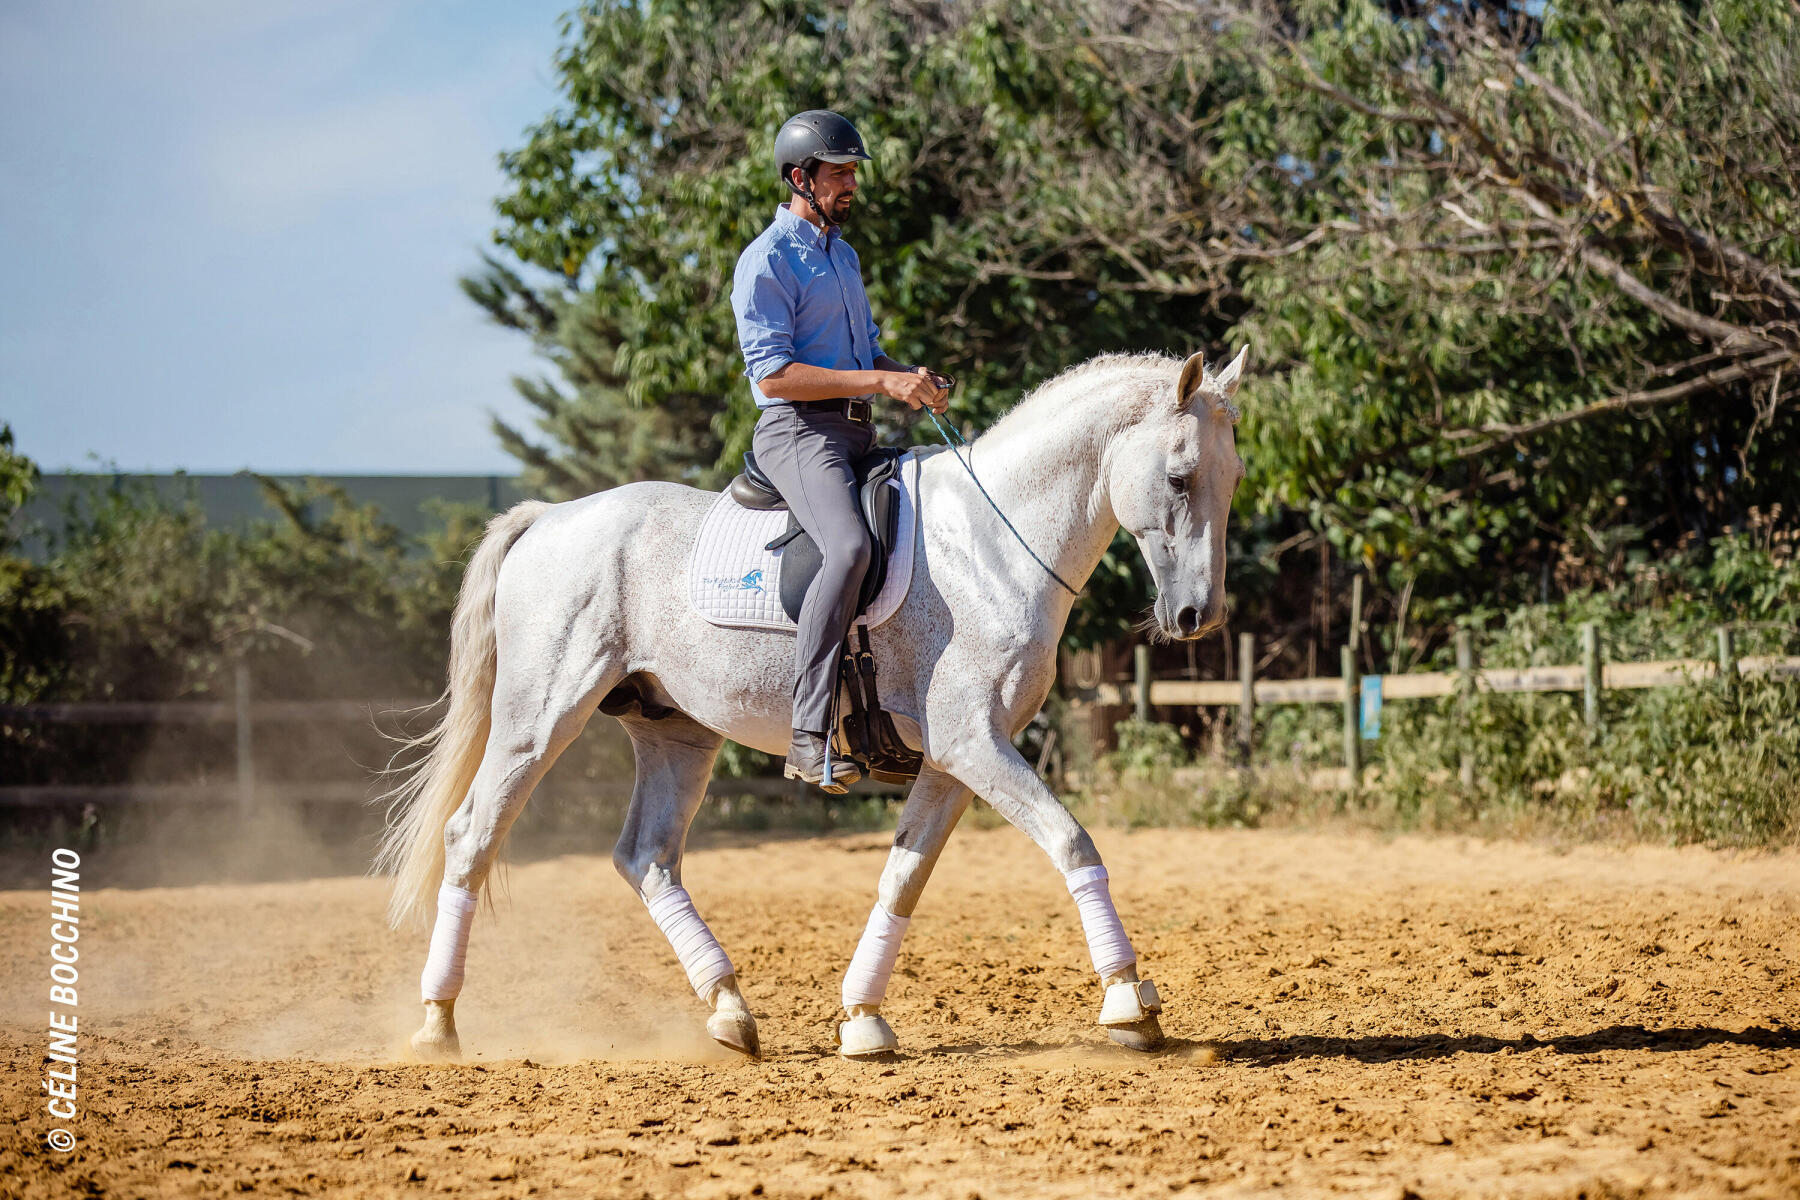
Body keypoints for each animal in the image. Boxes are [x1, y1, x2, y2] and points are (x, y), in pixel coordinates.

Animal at [376, 345, 1252, 1057]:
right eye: (1179, 478)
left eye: (1234, 477)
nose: (1197, 617)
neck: (993, 545)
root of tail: (549, 518)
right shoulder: (973, 742)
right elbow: (1072, 843)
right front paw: (1129, 1000)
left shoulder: (954, 760)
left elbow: (902, 880)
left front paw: (862, 1020)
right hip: (539, 719)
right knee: (472, 835)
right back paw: (437, 1023)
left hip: (677, 732)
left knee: (646, 856)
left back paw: (729, 1010)